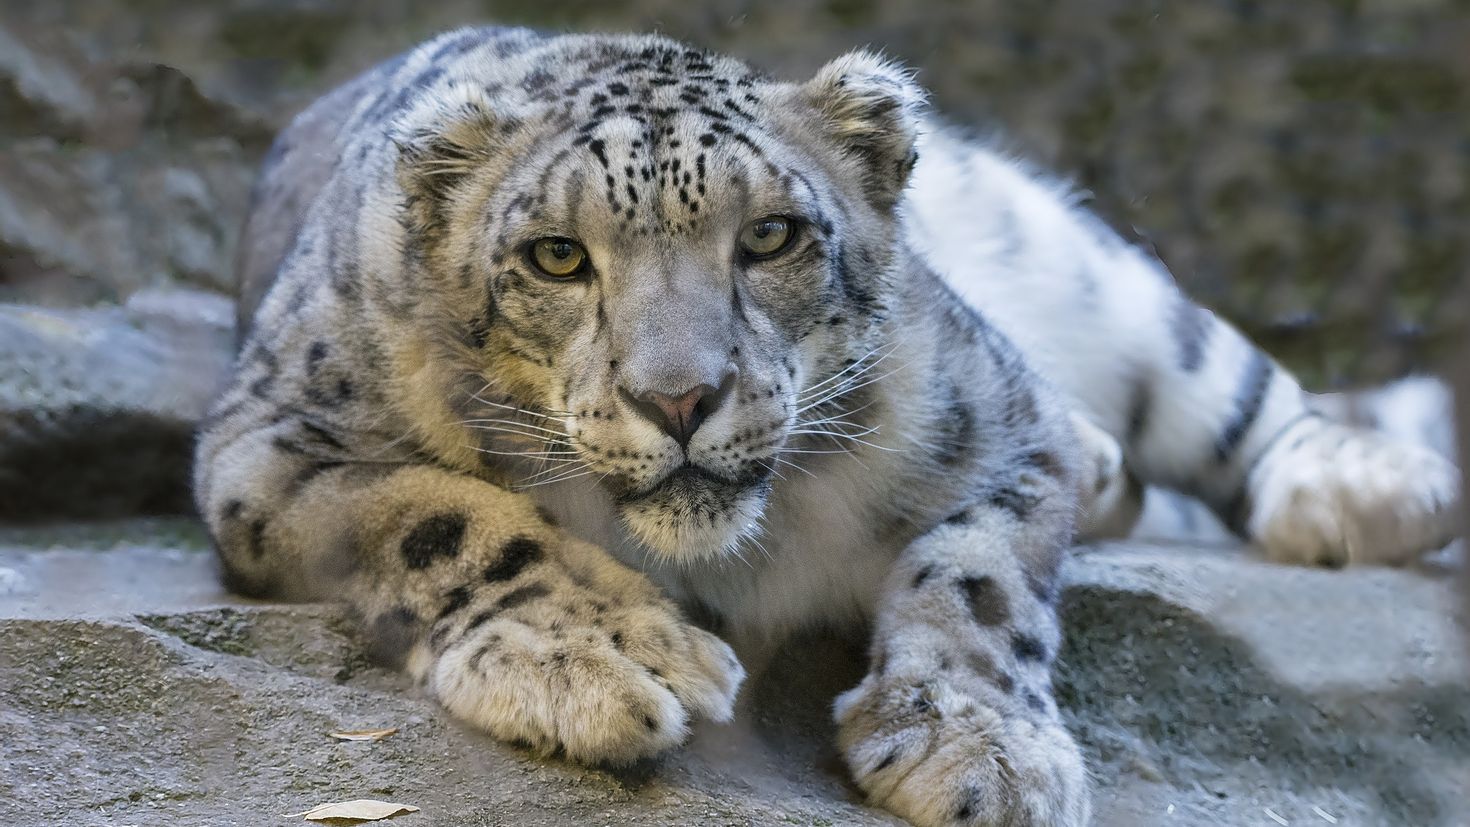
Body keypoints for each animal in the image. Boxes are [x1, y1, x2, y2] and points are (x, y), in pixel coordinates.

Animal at [195, 24, 1458, 827]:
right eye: (555, 255)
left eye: (770, 237)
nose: (680, 395)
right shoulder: (272, 441)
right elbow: (444, 511)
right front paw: (607, 656)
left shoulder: (1003, 414)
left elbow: (982, 573)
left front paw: (975, 747)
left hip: (1083, 266)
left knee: (1225, 378)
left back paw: (1371, 487)